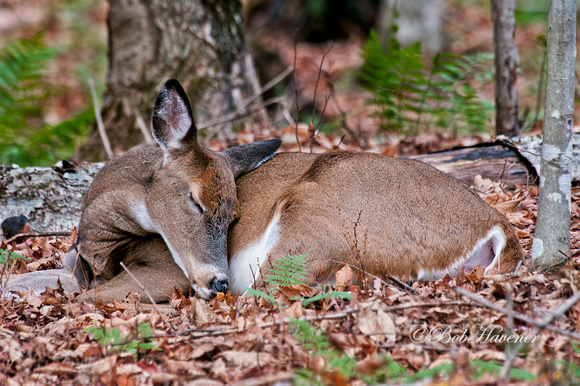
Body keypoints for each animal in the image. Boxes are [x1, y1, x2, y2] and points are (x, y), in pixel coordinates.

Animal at [1, 78, 524, 302]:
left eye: (234, 216)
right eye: (194, 201)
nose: (215, 280)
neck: (101, 244)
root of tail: (499, 226)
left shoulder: (165, 271)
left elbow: (77, 300)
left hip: (319, 215)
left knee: (273, 292)